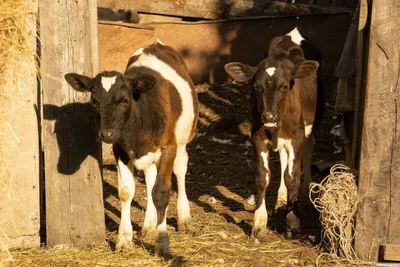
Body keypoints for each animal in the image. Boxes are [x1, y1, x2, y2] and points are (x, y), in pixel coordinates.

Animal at [64, 39, 200, 255]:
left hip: (183, 137)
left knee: (180, 169)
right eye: (94, 101)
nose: (107, 134)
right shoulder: (120, 150)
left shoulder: (168, 147)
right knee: (151, 177)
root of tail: (156, 44)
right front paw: (124, 239)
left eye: (125, 100)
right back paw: (149, 226)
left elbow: (161, 192)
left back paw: (184, 217)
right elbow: (126, 192)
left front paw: (162, 243)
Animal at [225, 28, 324, 240]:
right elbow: (263, 176)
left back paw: (305, 191)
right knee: (283, 156)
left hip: (312, 121)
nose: (268, 115)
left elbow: (293, 177)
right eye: (257, 86)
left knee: (309, 146)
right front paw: (259, 223)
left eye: (284, 86)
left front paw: (292, 222)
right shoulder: (257, 136)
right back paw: (280, 199)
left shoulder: (297, 137)